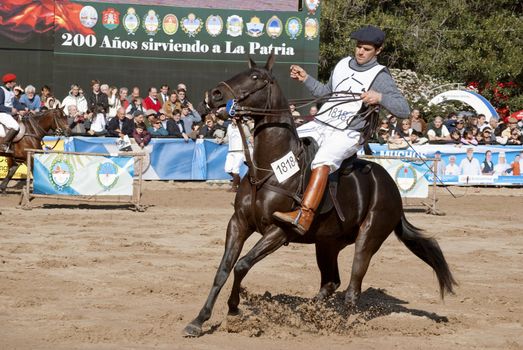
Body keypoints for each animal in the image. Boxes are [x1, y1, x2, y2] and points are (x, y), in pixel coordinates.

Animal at [183, 54, 454, 336]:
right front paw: (199, 319)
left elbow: (242, 265)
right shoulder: (238, 223)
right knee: (331, 282)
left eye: (256, 78)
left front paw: (234, 310)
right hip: (327, 243)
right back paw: (308, 313)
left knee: (353, 286)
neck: (268, 169)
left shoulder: (278, 231)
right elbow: (224, 269)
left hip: (368, 237)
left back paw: (340, 323)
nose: (214, 95)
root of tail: (391, 187)